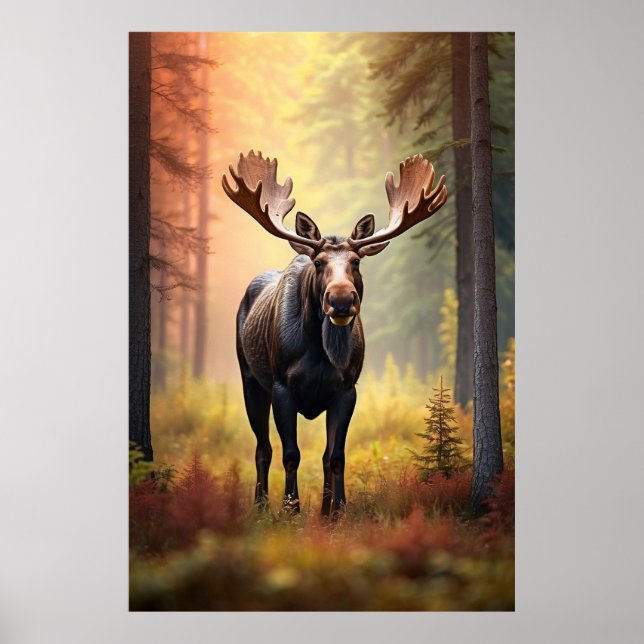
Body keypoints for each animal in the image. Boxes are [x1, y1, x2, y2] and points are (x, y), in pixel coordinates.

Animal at [222, 150, 447, 516]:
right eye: (318, 263)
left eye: (356, 262)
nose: (341, 299)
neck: (319, 351)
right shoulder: (283, 387)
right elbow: (291, 454)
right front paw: (291, 509)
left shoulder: (346, 388)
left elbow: (335, 456)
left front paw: (335, 510)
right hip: (250, 379)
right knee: (262, 447)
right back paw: (260, 506)